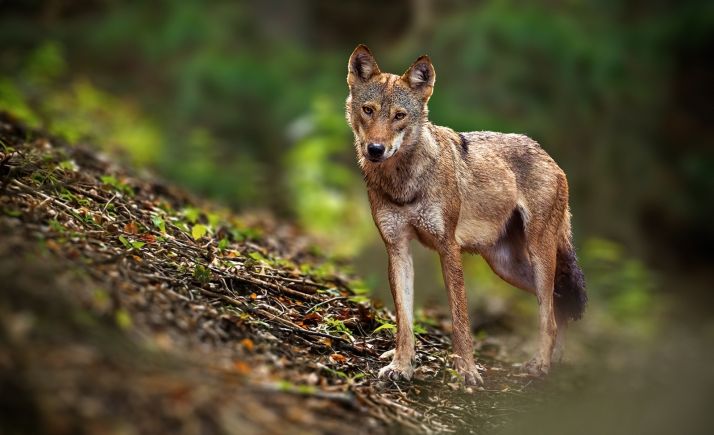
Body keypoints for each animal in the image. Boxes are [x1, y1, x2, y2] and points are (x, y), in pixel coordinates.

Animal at [345, 45, 587, 385]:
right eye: (368, 110)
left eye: (399, 116)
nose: (375, 149)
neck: (404, 182)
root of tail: (548, 155)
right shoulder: (397, 249)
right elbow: (404, 320)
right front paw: (401, 365)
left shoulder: (449, 248)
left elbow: (460, 319)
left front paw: (467, 372)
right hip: (505, 266)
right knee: (558, 302)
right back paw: (556, 362)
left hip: (538, 256)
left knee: (550, 313)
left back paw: (540, 364)